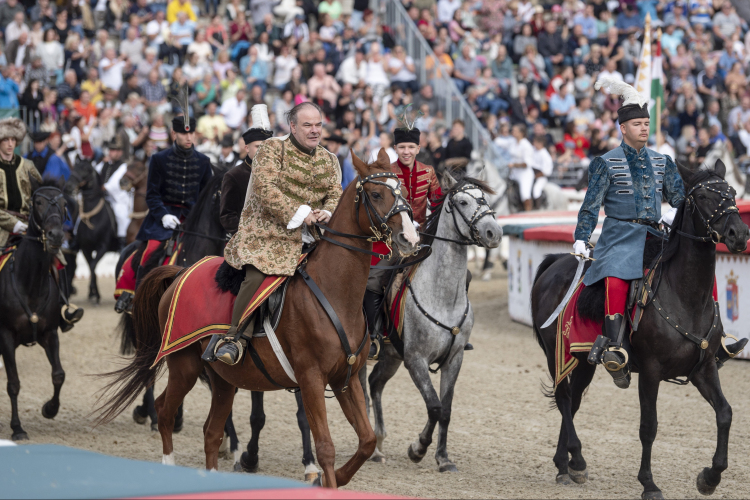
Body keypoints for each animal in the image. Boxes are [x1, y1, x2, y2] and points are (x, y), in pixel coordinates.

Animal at [0, 182, 70, 440]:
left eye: (64, 203)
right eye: (37, 202)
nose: (56, 235)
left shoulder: (49, 333)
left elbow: (58, 374)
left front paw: (50, 408)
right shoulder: (5, 337)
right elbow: (13, 384)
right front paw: (17, 428)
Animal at [67, 159, 119, 304]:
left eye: (87, 170)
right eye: (74, 167)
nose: (69, 186)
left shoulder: (103, 247)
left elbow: (92, 266)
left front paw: (94, 292)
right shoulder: (86, 248)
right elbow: (92, 267)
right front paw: (94, 293)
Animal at [97, 149, 420, 488]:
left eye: (402, 191)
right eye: (376, 194)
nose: (410, 236)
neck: (334, 292)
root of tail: (180, 273)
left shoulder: (346, 378)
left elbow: (367, 440)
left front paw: (330, 477)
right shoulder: (311, 378)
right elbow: (325, 447)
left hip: (223, 379)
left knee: (211, 431)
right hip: (184, 365)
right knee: (165, 411)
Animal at [532, 162, 748, 498]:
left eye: (733, 192)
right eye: (702, 196)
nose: (739, 233)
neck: (684, 295)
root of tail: (555, 264)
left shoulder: (704, 368)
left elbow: (725, 413)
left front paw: (710, 477)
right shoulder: (650, 370)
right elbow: (649, 427)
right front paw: (649, 483)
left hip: (583, 361)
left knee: (573, 400)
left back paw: (563, 464)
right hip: (558, 354)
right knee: (565, 398)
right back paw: (577, 459)